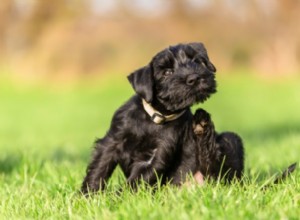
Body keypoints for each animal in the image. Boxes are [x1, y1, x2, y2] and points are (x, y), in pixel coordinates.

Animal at [81, 42, 218, 193]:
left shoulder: (157, 154)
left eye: (196, 61)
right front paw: (88, 194)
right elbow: (100, 167)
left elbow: (138, 179)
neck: (155, 117)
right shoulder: (112, 141)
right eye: (167, 72)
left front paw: (118, 196)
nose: (194, 78)